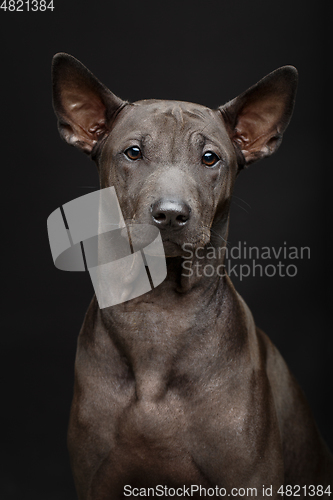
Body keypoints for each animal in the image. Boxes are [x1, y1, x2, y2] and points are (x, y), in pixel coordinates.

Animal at [52, 52, 332, 498]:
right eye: (133, 152)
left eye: (210, 158)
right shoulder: (96, 482)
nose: (170, 213)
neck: (158, 315)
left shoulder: (248, 481)